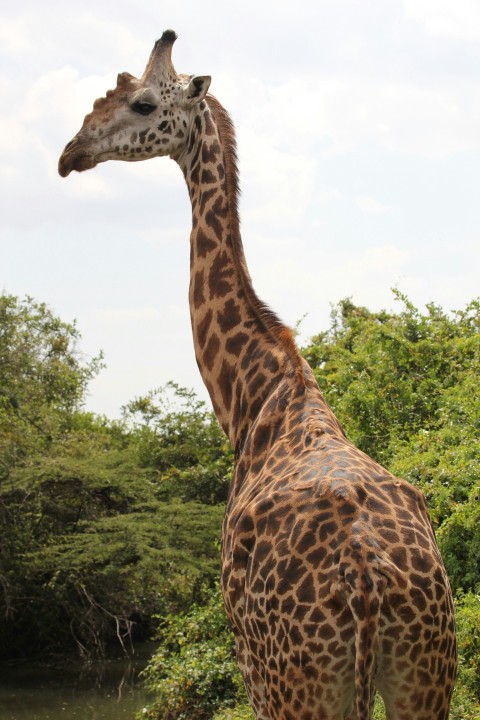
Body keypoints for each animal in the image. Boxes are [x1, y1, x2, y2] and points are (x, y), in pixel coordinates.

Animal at [58, 29, 456, 720]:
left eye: (141, 103)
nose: (69, 153)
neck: (256, 393)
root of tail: (367, 580)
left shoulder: (249, 668)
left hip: (297, 685)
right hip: (424, 675)